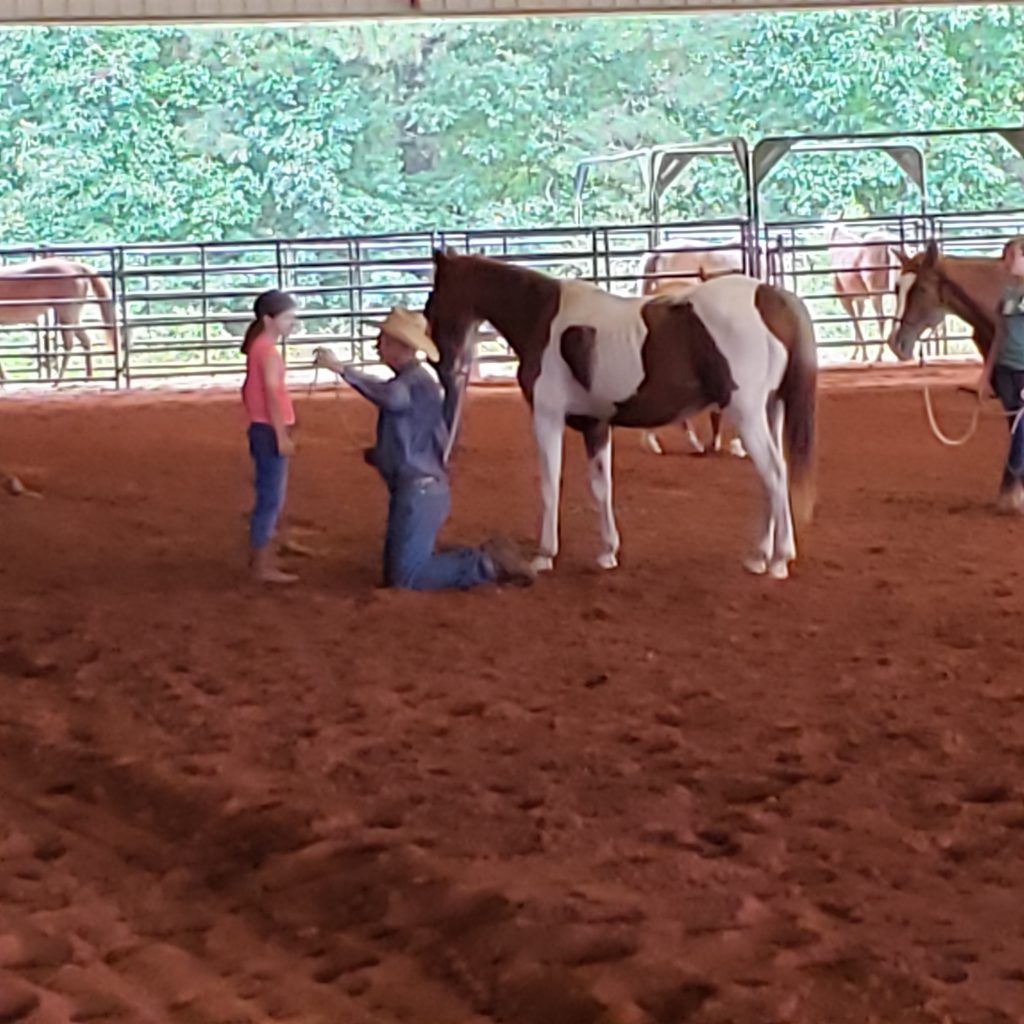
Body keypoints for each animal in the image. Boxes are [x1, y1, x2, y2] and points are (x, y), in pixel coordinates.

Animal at [0, 256, 117, 385]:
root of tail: (77, 266)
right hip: (72, 318)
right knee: (85, 340)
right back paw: (88, 377)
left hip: (67, 316)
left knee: (69, 345)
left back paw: (58, 381)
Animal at [827, 224, 901, 364]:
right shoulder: (859, 299)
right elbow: (859, 320)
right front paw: (857, 354)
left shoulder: (845, 299)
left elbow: (855, 321)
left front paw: (863, 356)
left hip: (875, 295)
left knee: (881, 319)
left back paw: (878, 357)